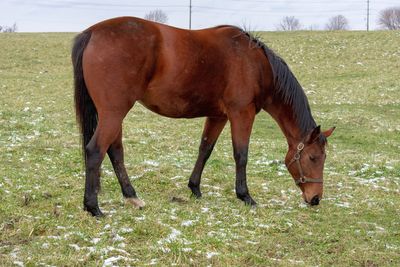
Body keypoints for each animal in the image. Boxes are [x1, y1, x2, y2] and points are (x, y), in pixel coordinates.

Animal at [71, 16, 334, 218]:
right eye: (313, 157)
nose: (315, 199)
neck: (255, 64)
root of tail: (92, 33)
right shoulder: (242, 114)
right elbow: (241, 155)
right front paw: (245, 196)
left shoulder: (218, 116)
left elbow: (205, 149)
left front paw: (195, 188)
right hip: (114, 112)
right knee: (96, 150)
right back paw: (93, 207)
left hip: (113, 114)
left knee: (115, 151)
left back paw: (131, 196)